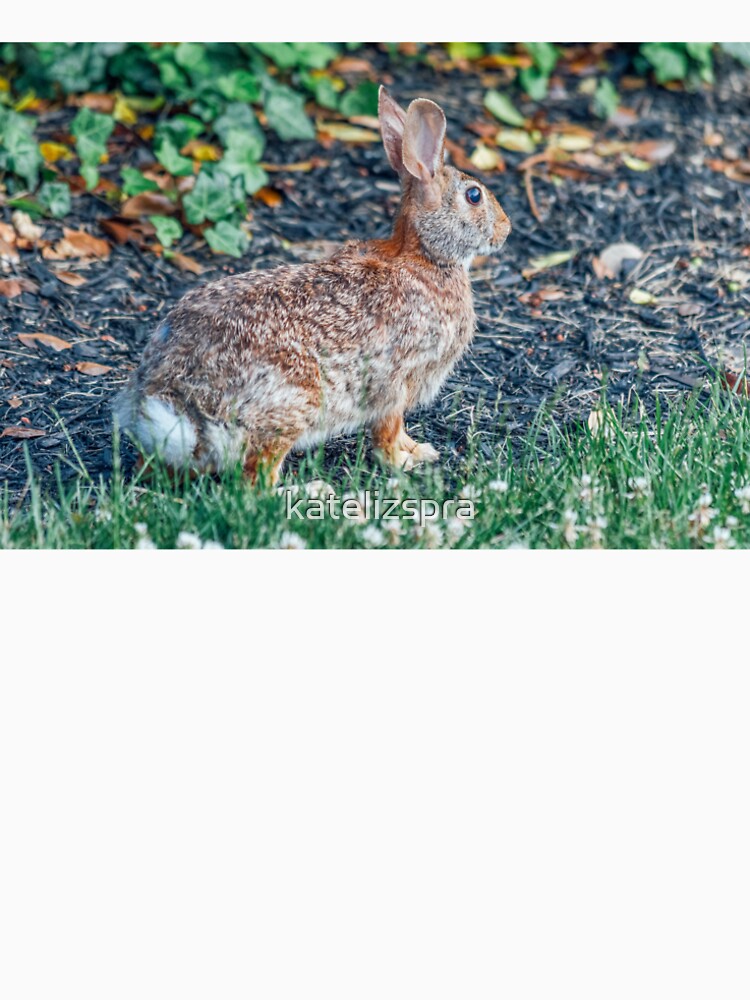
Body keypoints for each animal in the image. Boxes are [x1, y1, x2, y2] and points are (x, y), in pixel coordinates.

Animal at [113, 87, 511, 484]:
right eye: (474, 196)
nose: (506, 229)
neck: (425, 257)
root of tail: (184, 409)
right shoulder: (396, 383)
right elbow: (388, 431)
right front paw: (406, 461)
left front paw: (419, 451)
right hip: (294, 402)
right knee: (255, 480)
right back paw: (313, 489)